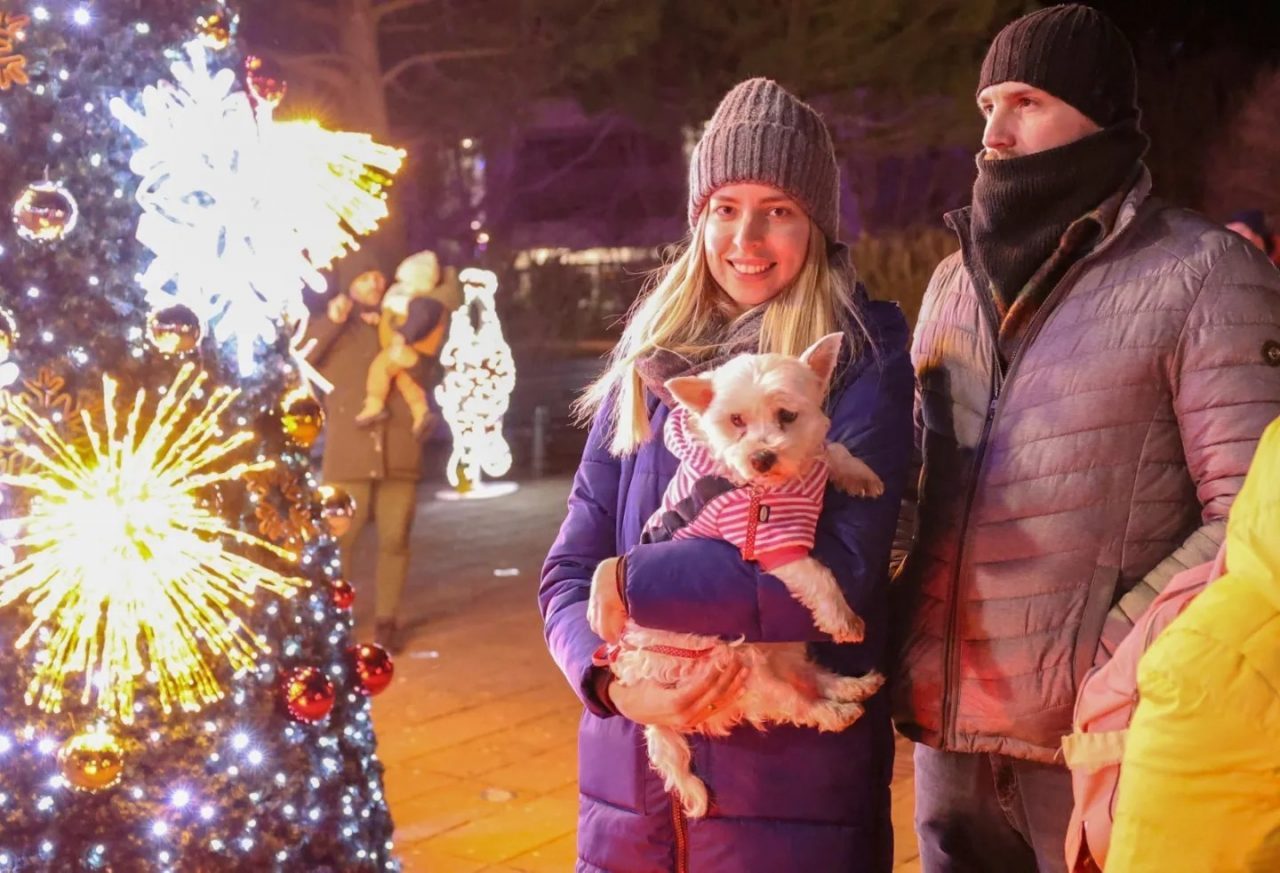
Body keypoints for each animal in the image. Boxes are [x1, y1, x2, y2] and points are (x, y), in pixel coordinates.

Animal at [586, 330, 880, 814]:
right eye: (736, 420)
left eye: (787, 415)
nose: (761, 457)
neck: (778, 483)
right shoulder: (768, 541)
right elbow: (818, 574)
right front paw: (843, 619)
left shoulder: (811, 463)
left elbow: (832, 448)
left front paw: (861, 474)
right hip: (738, 667)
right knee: (791, 701)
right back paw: (834, 710)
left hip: (774, 651)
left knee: (805, 676)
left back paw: (851, 687)